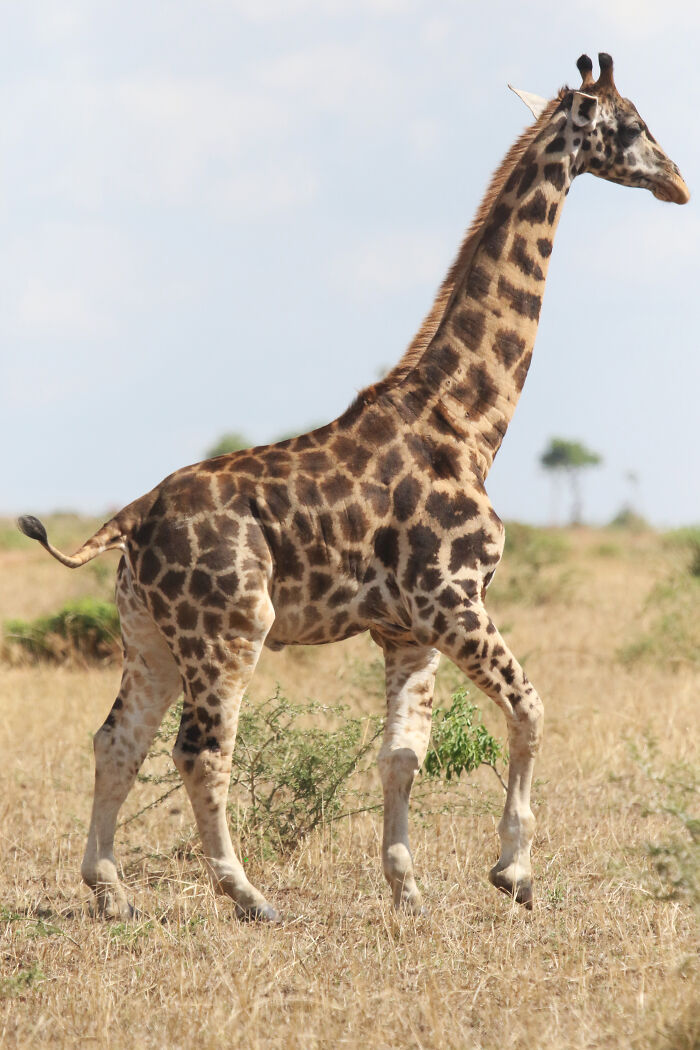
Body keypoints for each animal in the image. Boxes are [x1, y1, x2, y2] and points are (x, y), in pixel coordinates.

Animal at [18, 54, 688, 922]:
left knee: (117, 740)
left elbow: (401, 755)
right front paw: (513, 872)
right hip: (229, 627)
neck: (470, 425)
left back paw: (110, 892)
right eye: (633, 124)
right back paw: (247, 894)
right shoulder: (454, 598)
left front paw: (408, 888)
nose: (678, 182)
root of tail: (133, 517)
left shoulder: (407, 629)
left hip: (148, 634)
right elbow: (531, 707)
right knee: (200, 748)